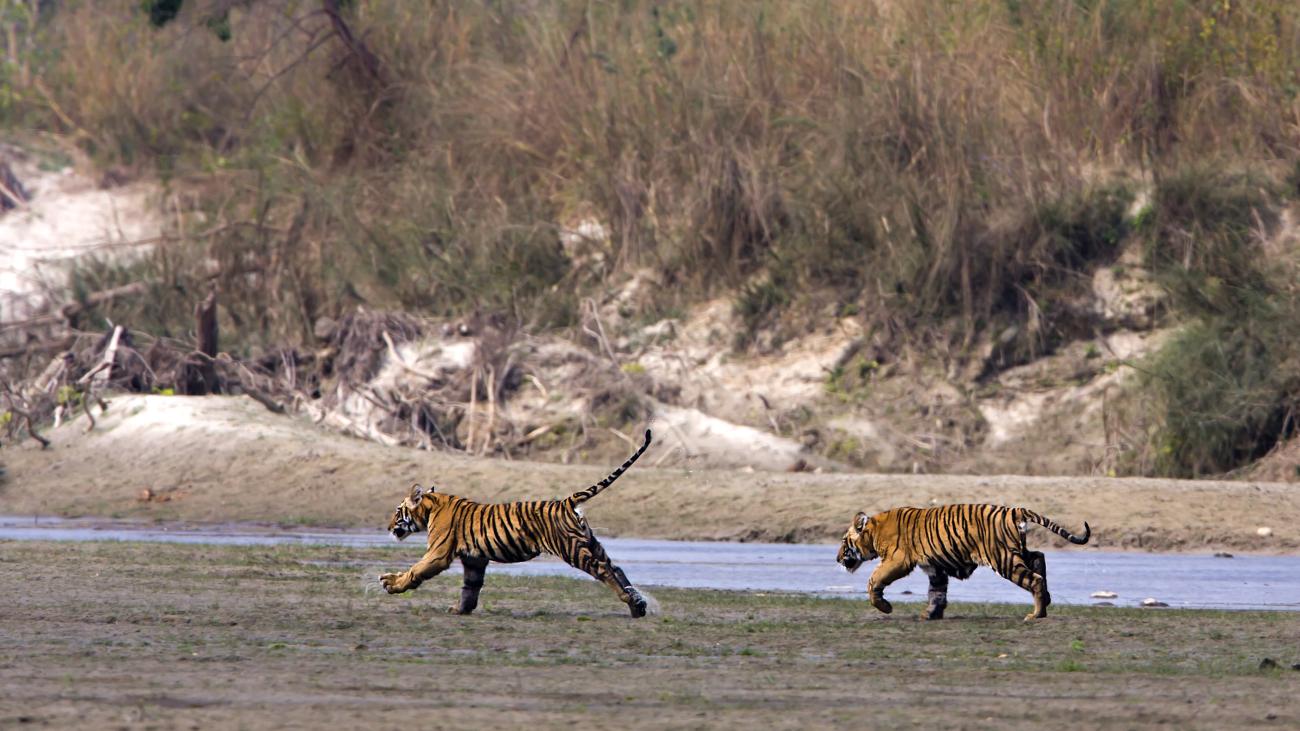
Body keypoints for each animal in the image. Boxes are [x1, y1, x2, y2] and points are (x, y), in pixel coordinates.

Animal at [379, 429, 653, 617]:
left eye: (397, 511)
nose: (388, 527)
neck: (431, 507)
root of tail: (566, 502)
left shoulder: (438, 553)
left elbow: (416, 570)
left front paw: (392, 583)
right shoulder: (474, 558)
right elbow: (470, 587)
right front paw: (461, 609)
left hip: (570, 549)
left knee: (604, 570)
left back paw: (629, 601)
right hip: (590, 542)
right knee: (617, 568)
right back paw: (637, 605)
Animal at [836, 504, 1091, 621]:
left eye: (843, 541)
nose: (837, 559)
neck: (873, 532)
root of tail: (1014, 510)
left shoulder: (897, 560)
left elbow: (873, 580)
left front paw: (885, 607)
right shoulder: (935, 566)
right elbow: (936, 592)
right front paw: (931, 614)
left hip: (1003, 559)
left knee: (1034, 578)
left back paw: (1036, 614)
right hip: (1016, 552)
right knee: (1039, 558)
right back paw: (1046, 602)